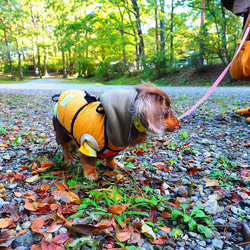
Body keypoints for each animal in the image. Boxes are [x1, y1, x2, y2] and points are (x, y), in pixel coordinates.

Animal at [52, 83, 181, 181]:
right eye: (168, 109)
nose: (179, 125)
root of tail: (63, 94)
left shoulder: (115, 147)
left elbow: (110, 157)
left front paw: (114, 164)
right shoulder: (88, 143)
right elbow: (89, 161)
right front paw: (91, 174)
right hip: (60, 129)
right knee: (64, 146)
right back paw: (69, 159)